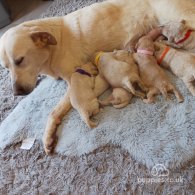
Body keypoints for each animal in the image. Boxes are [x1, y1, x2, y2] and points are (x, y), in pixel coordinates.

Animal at [0, 0, 195, 154]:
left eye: (20, 60)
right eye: (5, 67)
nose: (17, 93)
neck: (54, 46)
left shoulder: (74, 81)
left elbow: (54, 111)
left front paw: (47, 136)